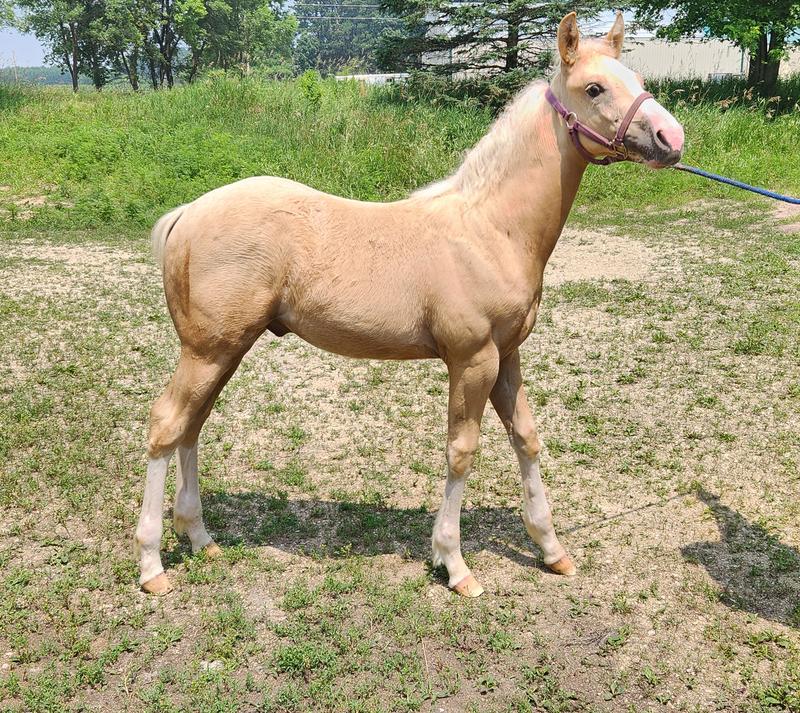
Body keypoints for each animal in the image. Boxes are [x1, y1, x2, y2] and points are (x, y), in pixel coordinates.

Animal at [135, 12, 685, 597]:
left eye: (634, 76)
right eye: (594, 87)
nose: (671, 138)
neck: (490, 229)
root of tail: (188, 213)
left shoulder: (507, 356)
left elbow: (527, 439)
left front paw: (551, 549)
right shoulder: (472, 359)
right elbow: (461, 451)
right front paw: (455, 563)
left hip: (225, 351)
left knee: (192, 425)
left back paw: (199, 538)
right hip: (208, 350)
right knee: (167, 424)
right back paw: (152, 565)